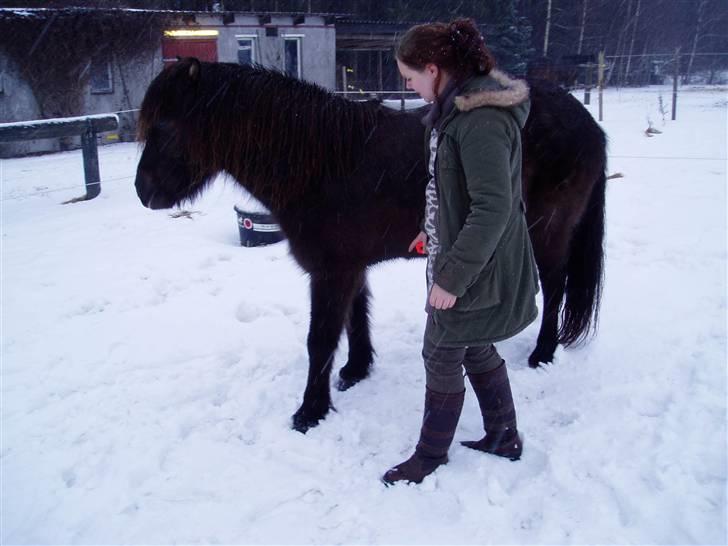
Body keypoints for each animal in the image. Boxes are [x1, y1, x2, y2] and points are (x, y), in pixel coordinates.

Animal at [134, 59, 604, 432]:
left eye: (166, 127)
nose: (143, 192)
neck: (321, 163)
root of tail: (588, 123)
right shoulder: (349, 267)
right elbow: (355, 318)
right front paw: (356, 371)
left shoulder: (330, 272)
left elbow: (321, 338)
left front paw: (310, 411)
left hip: (547, 232)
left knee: (556, 285)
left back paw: (543, 353)